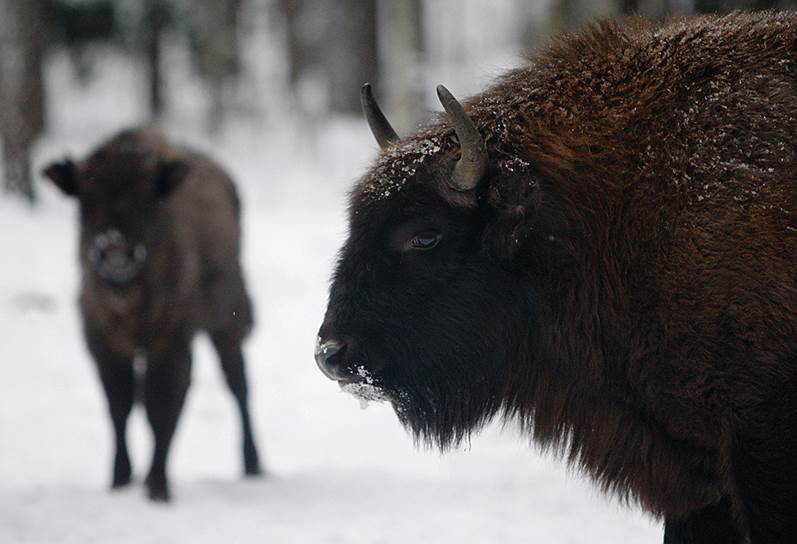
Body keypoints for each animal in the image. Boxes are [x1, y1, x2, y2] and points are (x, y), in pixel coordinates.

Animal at [44, 127, 262, 502]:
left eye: (145, 198)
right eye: (86, 197)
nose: (115, 248)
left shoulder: (170, 342)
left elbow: (161, 407)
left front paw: (157, 487)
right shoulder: (104, 344)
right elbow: (120, 405)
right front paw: (120, 480)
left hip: (226, 324)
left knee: (238, 384)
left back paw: (252, 465)